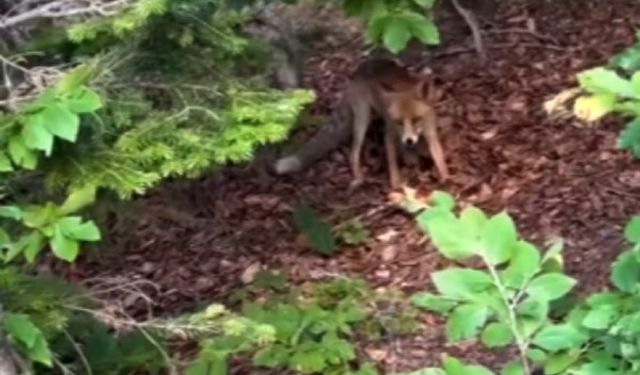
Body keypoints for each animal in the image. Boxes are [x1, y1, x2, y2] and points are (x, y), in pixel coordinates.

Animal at [272, 58, 450, 191]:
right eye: (398, 122)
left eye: (416, 119)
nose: (409, 140)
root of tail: (358, 72)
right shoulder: (390, 134)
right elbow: (392, 164)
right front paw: (396, 186)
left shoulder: (430, 133)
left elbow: (439, 156)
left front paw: (445, 177)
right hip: (362, 119)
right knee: (353, 153)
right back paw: (358, 178)